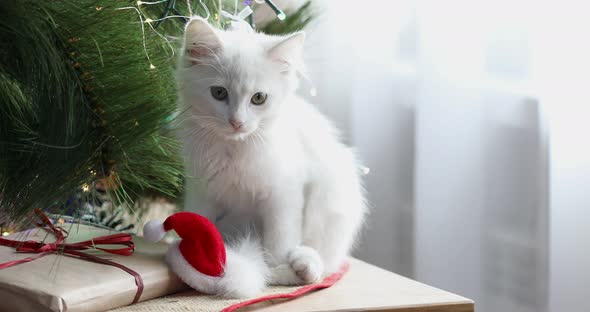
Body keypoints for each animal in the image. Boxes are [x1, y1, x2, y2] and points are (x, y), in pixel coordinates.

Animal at [178, 17, 368, 298]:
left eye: (258, 98)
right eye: (219, 93)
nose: (236, 122)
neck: (235, 149)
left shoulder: (283, 196)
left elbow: (278, 243)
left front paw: (275, 270)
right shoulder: (202, 190)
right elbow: (201, 222)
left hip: (329, 201)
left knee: (323, 260)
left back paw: (301, 268)